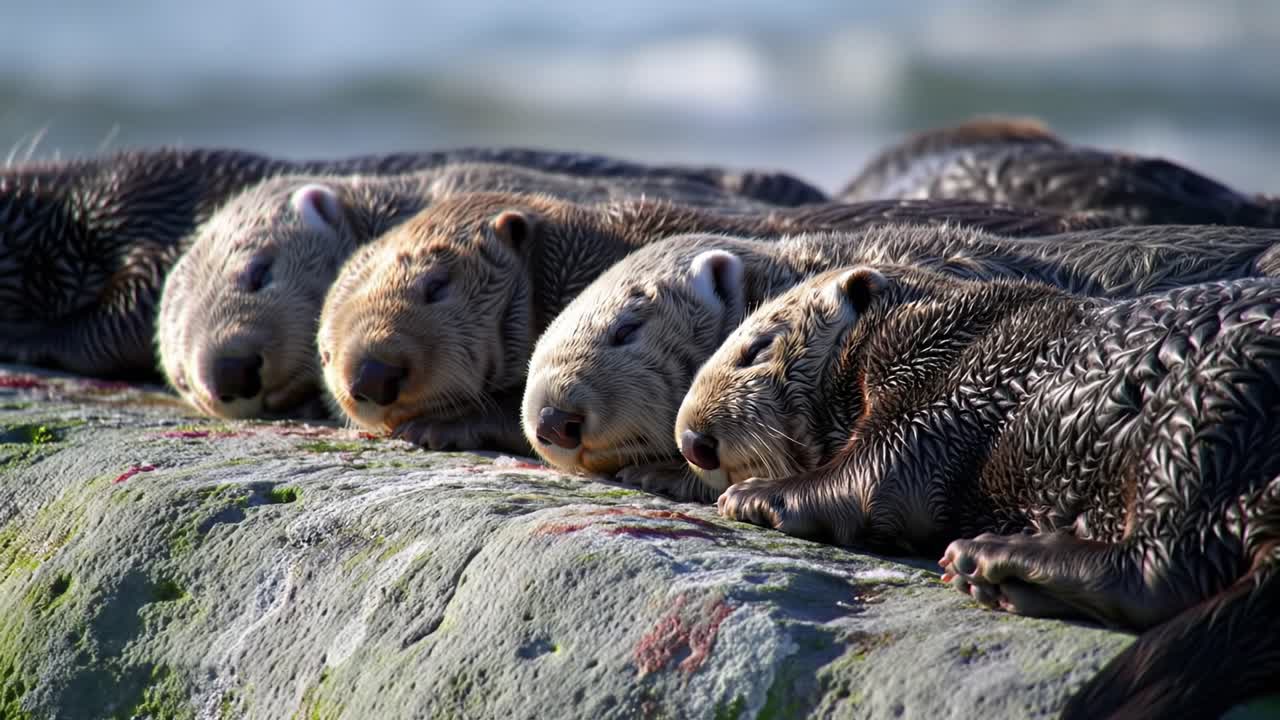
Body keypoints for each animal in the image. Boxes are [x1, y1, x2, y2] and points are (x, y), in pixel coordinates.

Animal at [685, 267, 1280, 720]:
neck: (937, 330)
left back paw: (991, 557)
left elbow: (867, 482)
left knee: (1163, 568)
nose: (692, 440)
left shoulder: (936, 397)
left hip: (1202, 413)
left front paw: (757, 495)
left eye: (756, 349)